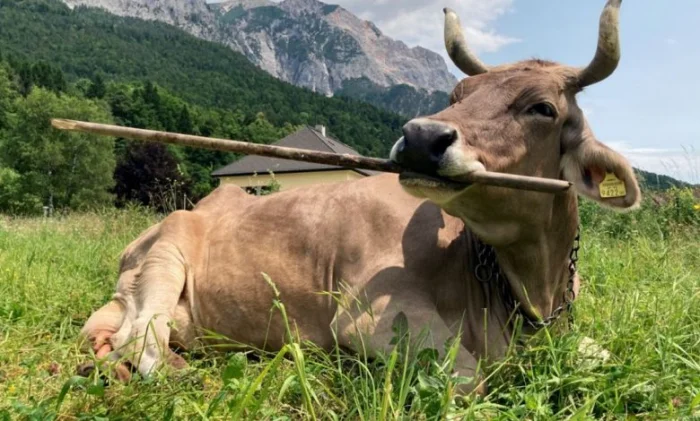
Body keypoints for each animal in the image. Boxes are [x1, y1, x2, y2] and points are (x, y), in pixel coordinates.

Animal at [79, 0, 639, 395]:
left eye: (543, 108)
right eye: (457, 96)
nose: (420, 137)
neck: (528, 291)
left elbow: (608, 358)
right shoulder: (372, 317)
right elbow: (469, 379)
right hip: (168, 252)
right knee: (140, 339)